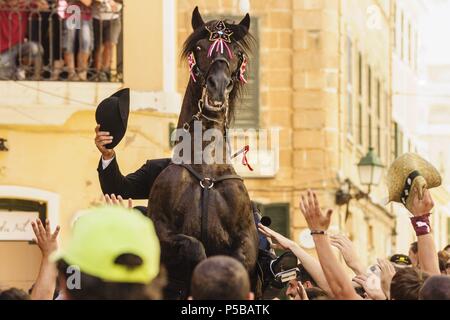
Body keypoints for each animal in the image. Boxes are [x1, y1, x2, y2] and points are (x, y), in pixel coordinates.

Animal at [149, 6, 260, 300]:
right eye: (199, 47)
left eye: (237, 52)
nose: (217, 87)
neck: (206, 172)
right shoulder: (161, 231)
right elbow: (195, 247)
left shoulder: (246, 240)